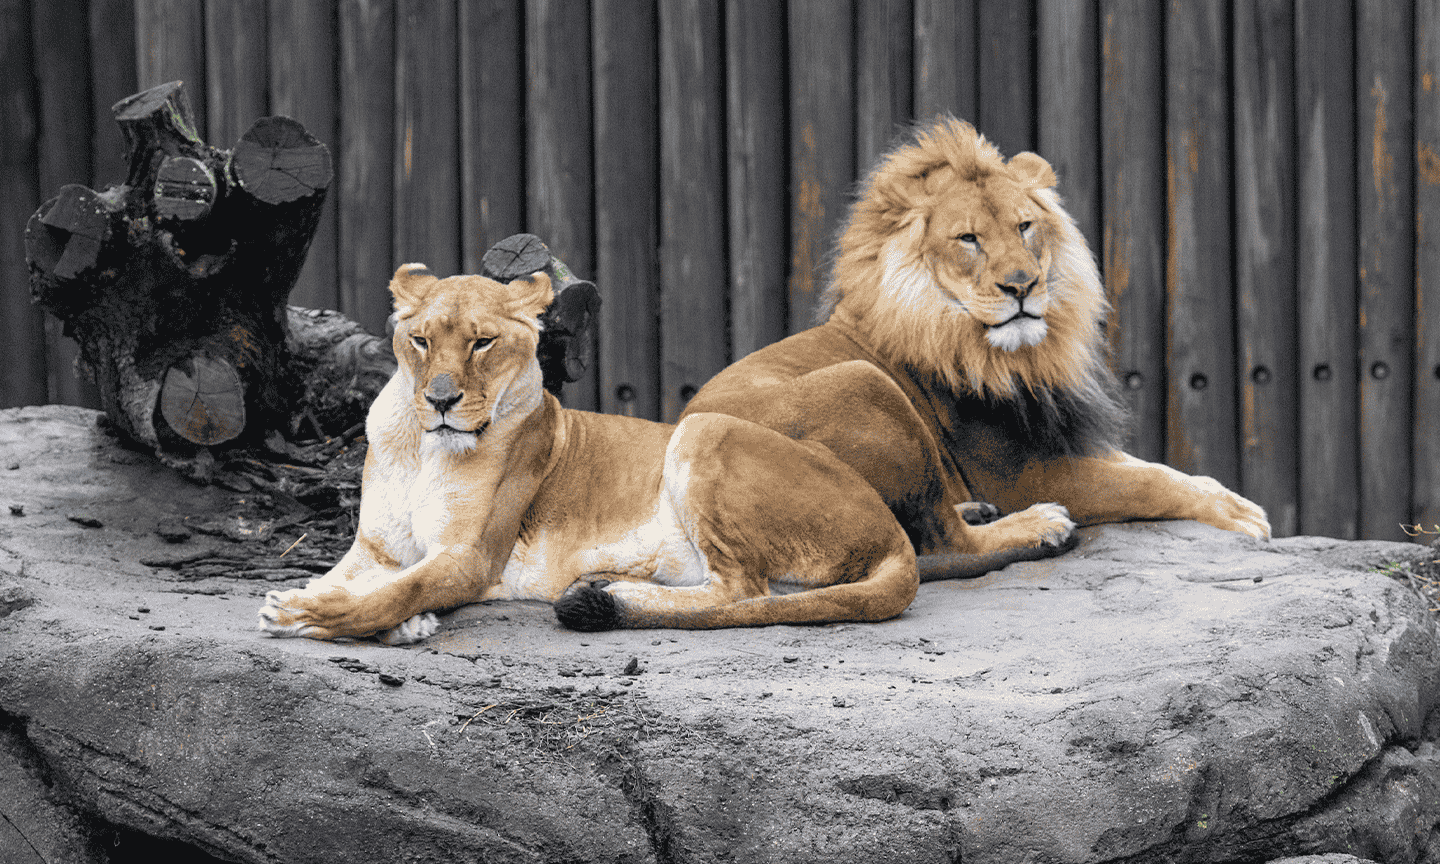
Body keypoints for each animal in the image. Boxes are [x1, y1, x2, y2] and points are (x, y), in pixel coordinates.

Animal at [257, 265, 917, 642]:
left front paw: (306, 616)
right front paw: (346, 606)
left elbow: (396, 591)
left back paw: (606, 598)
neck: (423, 448)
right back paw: (603, 585)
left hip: (703, 429)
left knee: (744, 593)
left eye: (482, 343)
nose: (441, 400)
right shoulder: (374, 549)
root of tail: (893, 530)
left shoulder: (470, 558)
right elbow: (356, 580)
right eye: (419, 341)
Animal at [682, 116, 1269, 577]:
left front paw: (1231, 497)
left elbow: (1159, 468)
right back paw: (1037, 525)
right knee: (943, 544)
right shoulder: (1024, 473)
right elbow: (1147, 483)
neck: (1015, 355)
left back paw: (978, 511)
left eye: (1025, 226)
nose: (1022, 285)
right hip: (862, 382)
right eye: (969, 239)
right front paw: (1243, 516)